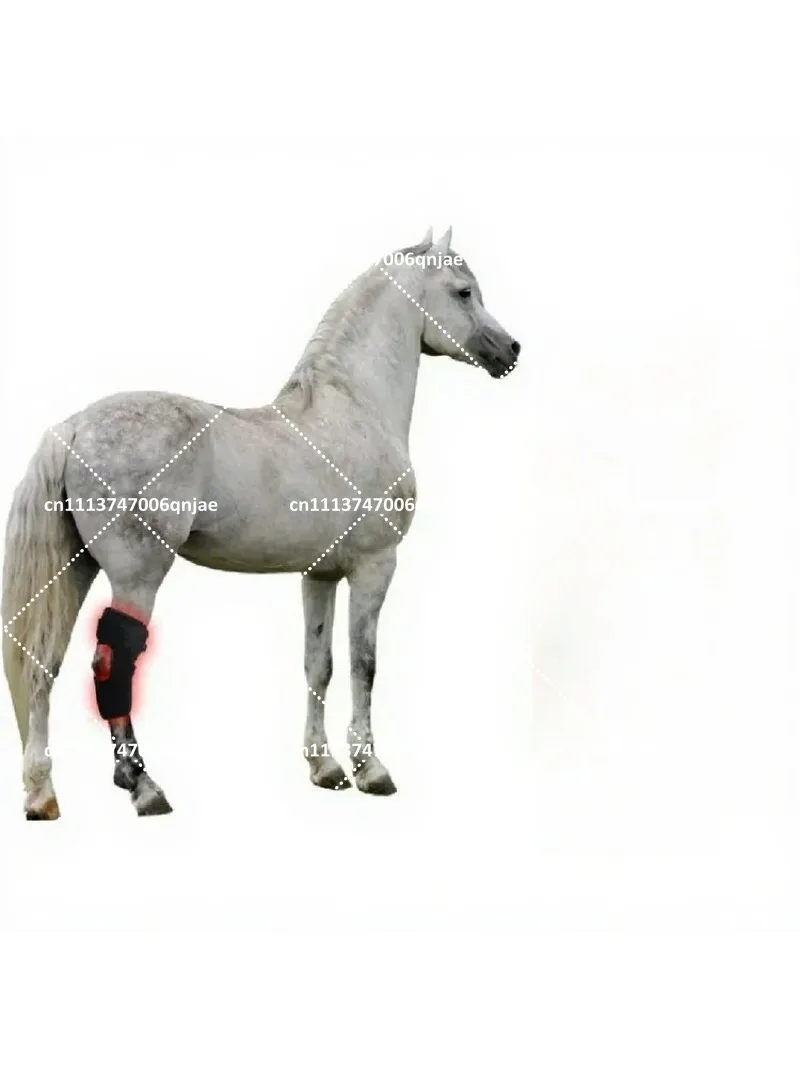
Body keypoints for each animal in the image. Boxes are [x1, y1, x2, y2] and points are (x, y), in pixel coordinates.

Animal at [2, 227, 520, 819]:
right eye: (463, 292)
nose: (510, 350)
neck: (354, 410)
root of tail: (71, 430)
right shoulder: (375, 567)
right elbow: (363, 663)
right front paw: (371, 769)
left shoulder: (320, 575)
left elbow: (318, 664)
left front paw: (325, 767)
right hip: (136, 576)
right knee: (112, 665)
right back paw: (143, 786)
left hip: (76, 569)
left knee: (43, 663)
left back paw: (42, 794)